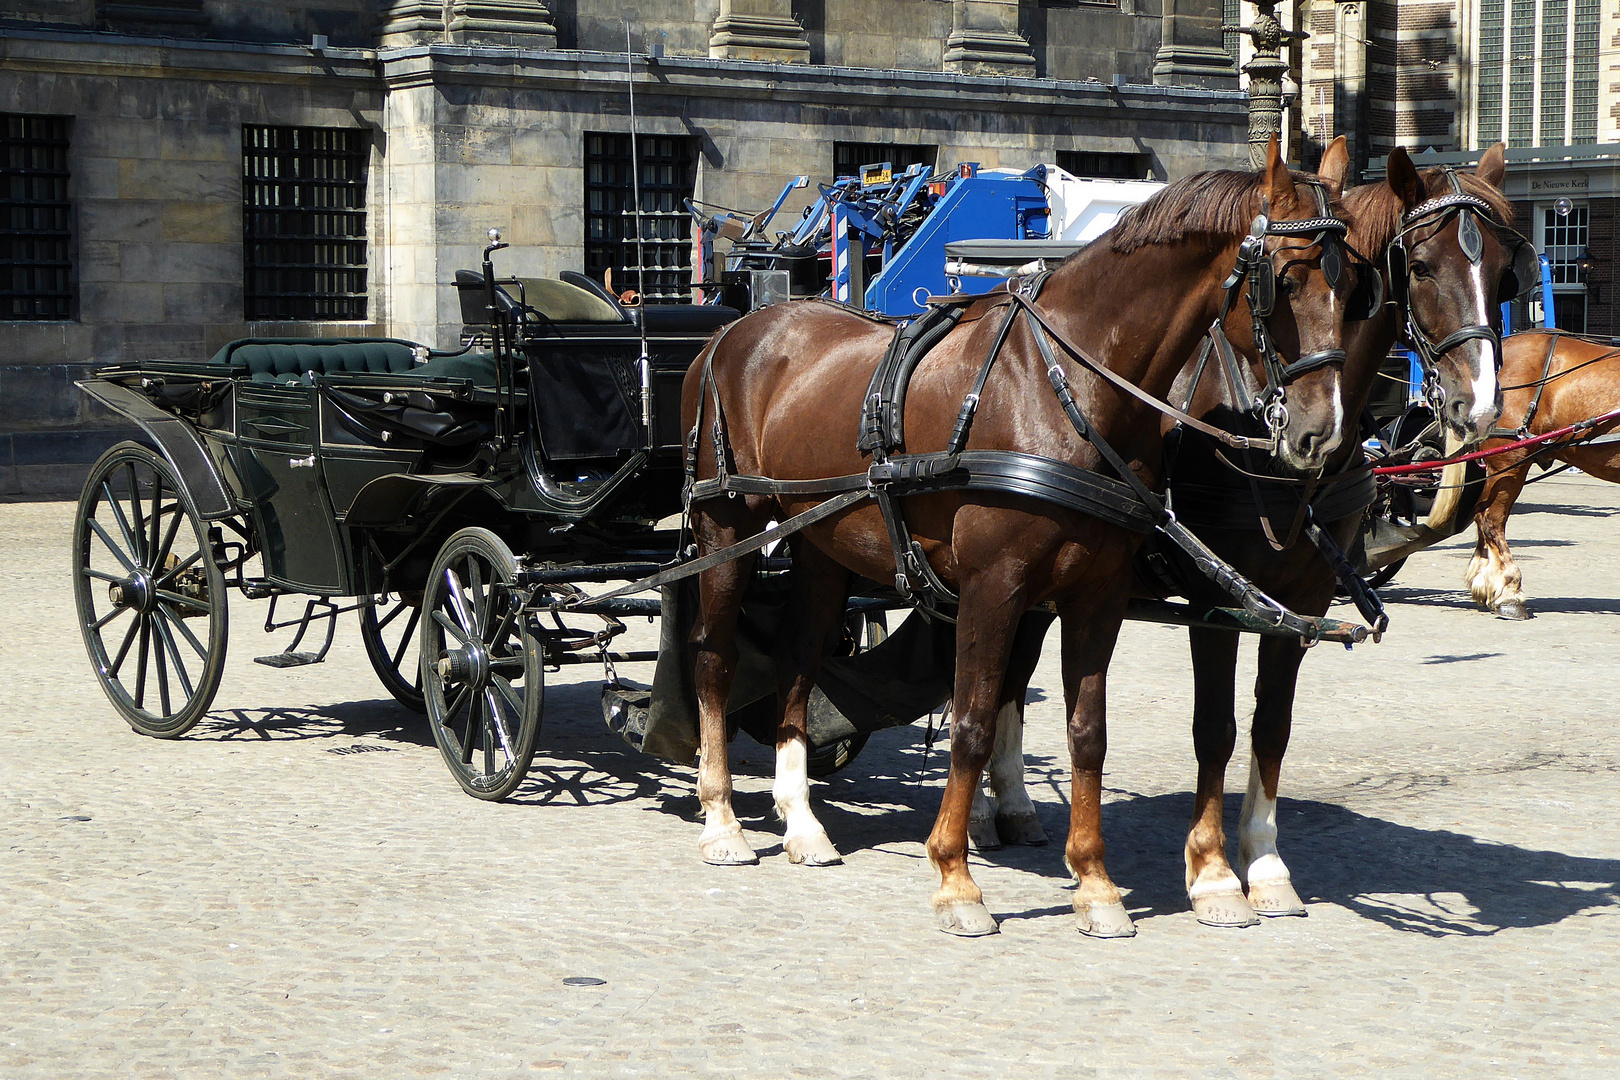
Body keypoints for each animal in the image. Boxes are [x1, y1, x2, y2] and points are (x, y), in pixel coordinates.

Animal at [677, 137, 1360, 939]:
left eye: (1357, 285)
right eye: (1284, 280)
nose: (1320, 433)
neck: (1064, 387)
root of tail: (733, 331)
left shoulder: (1096, 594)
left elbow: (1087, 730)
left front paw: (1094, 882)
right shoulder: (993, 586)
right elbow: (972, 721)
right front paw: (954, 877)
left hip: (820, 546)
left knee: (798, 659)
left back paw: (802, 821)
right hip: (727, 528)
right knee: (715, 659)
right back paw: (722, 820)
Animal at [972, 143, 1516, 932]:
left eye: (1506, 272)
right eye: (1419, 266)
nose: (1479, 406)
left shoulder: (1301, 602)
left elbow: (1271, 729)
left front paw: (1265, 864)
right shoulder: (1218, 599)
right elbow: (1215, 728)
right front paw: (1214, 876)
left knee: (1013, 671)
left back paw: (1011, 802)